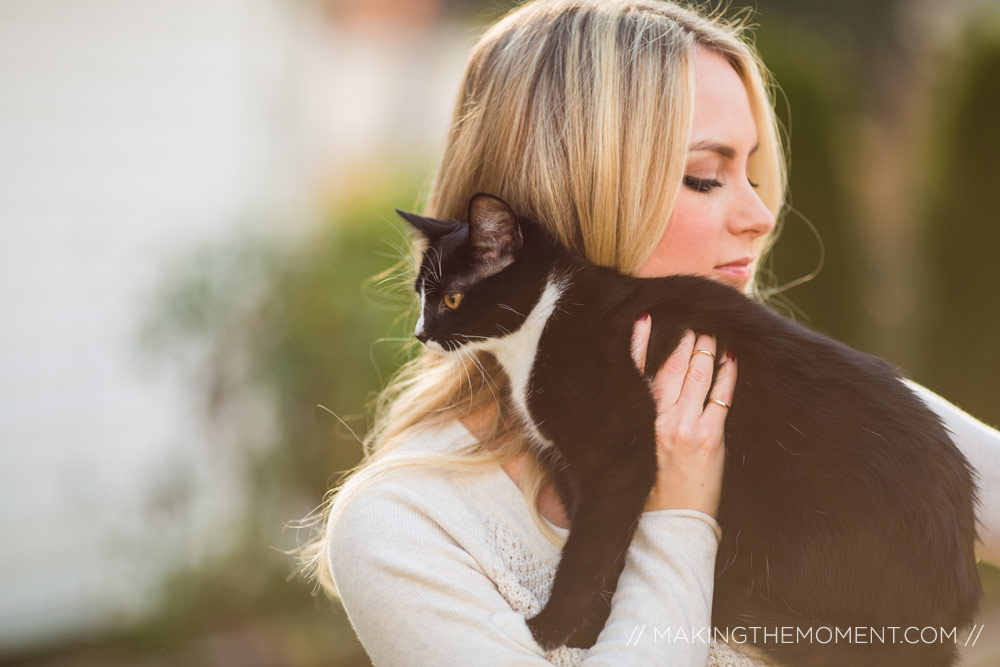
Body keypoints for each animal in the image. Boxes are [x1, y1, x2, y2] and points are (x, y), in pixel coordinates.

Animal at [394, 190, 980, 664]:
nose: (421, 333)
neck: (546, 319)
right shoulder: (571, 464)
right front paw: (588, 628)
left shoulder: (619, 456)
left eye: (452, 298)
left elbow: (591, 550)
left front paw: (551, 631)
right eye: (421, 296)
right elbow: (602, 542)